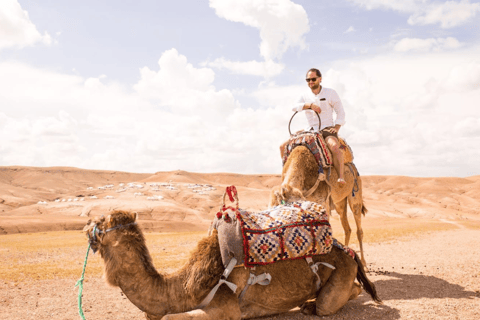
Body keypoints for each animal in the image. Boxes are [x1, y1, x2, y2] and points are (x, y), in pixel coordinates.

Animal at [83, 210, 382, 320]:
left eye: (100, 222)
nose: (85, 223)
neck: (181, 289)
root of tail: (347, 251)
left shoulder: (225, 309)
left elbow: (168, 317)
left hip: (339, 275)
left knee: (329, 303)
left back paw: (311, 306)